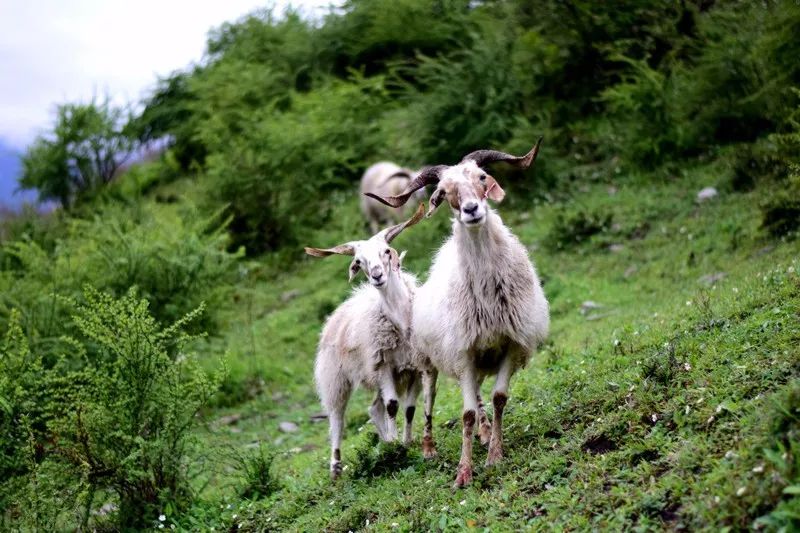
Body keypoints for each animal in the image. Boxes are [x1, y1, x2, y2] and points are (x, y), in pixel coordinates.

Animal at [304, 203, 424, 478]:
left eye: (386, 251)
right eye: (359, 261)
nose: (377, 275)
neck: (400, 321)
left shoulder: (414, 368)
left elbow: (409, 408)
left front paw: (404, 443)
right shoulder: (384, 366)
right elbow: (393, 406)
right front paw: (396, 447)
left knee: (373, 409)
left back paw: (386, 440)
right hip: (335, 379)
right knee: (337, 420)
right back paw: (336, 468)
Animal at [368, 138, 552, 486]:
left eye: (481, 177)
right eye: (444, 191)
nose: (471, 210)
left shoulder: (510, 344)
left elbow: (498, 399)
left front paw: (495, 454)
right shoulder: (463, 352)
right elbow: (464, 414)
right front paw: (463, 472)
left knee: (478, 396)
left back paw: (485, 432)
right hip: (429, 363)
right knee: (428, 402)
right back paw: (428, 447)